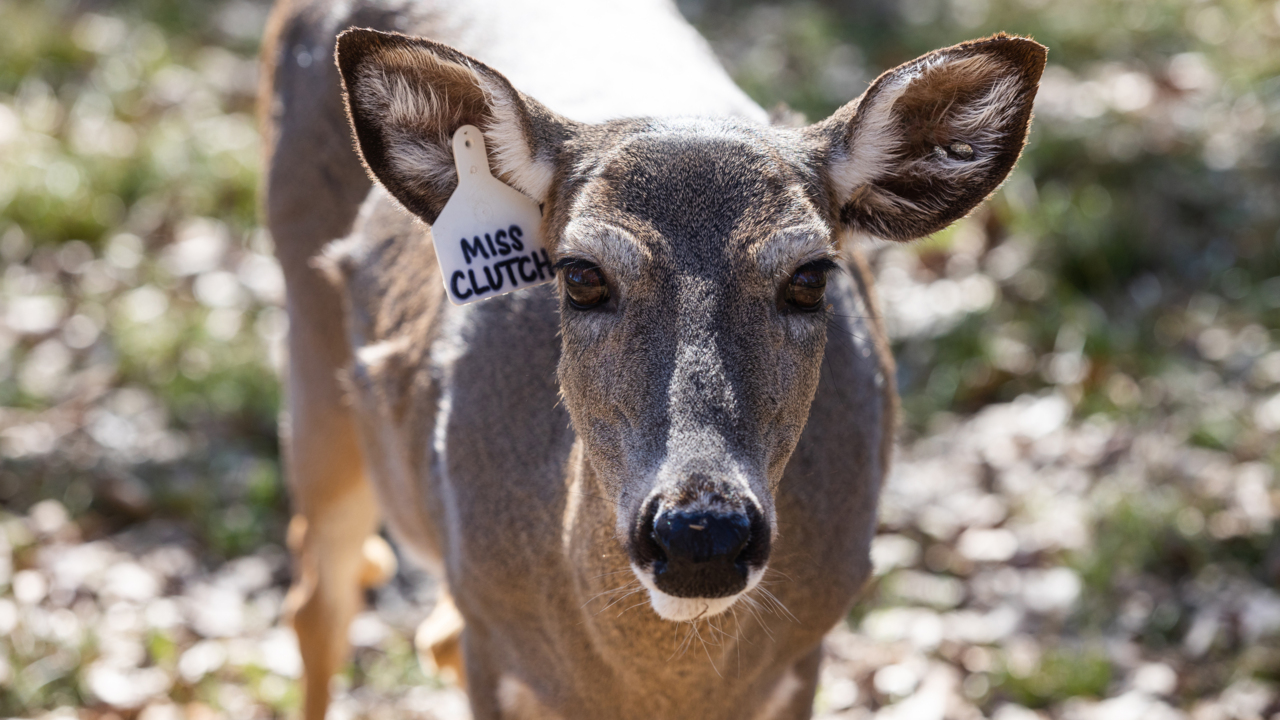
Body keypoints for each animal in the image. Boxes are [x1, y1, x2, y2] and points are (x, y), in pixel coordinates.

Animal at [258, 0, 1045, 717]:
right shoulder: (490, 635)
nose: (702, 534)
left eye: (812, 276)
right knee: (317, 600)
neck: (659, 687)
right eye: (581, 275)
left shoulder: (806, 650)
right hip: (312, 357)